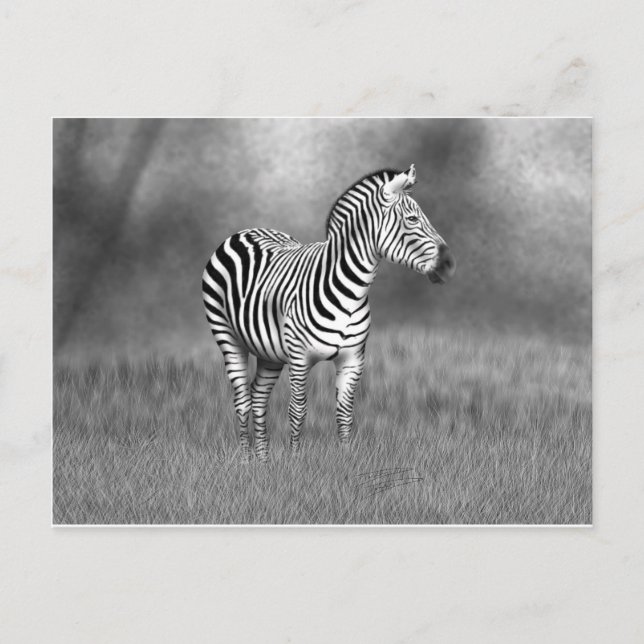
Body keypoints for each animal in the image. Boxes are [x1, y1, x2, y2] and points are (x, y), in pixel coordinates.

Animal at [202, 165, 455, 461]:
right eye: (413, 219)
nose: (449, 263)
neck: (351, 292)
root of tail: (246, 230)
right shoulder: (299, 359)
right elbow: (298, 411)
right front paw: (294, 461)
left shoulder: (353, 359)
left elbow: (345, 414)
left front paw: (346, 463)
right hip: (228, 337)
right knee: (242, 399)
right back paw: (246, 461)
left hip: (269, 353)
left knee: (258, 396)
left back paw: (262, 461)